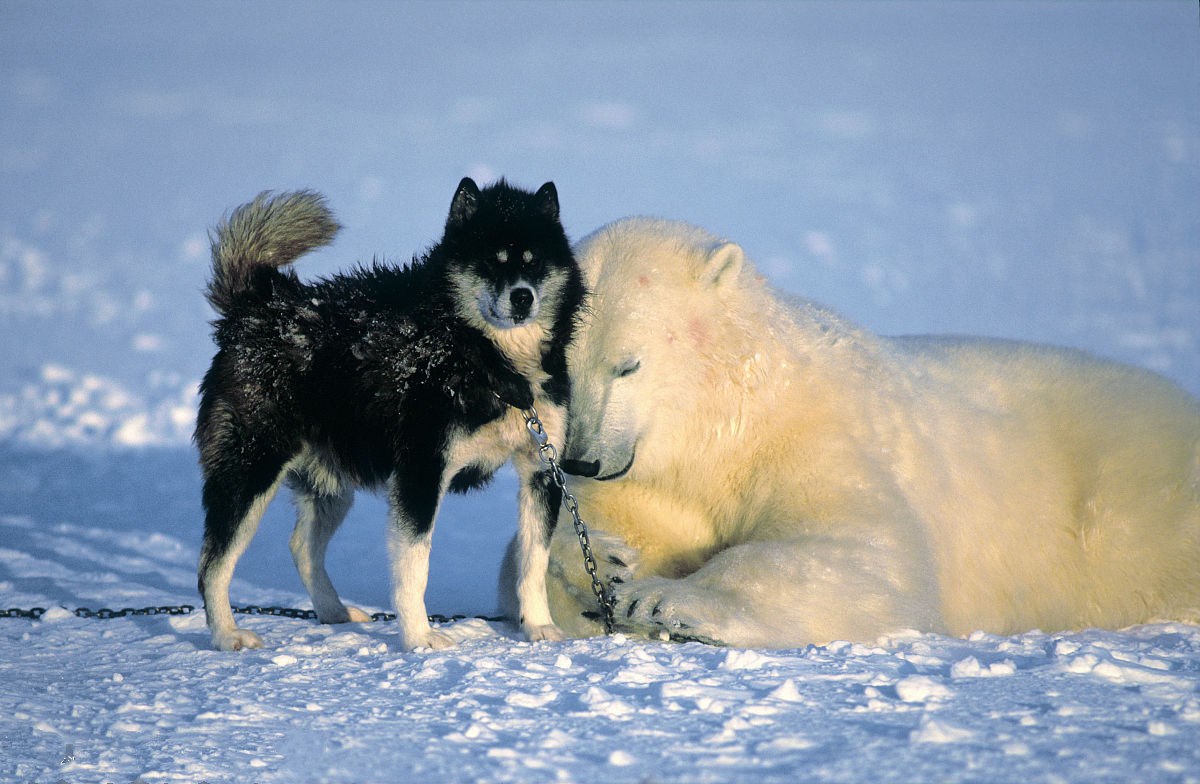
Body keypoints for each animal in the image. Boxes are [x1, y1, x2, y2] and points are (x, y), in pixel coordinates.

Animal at [194, 180, 583, 653]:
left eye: (534, 261)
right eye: (492, 261)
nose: (523, 296)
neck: (485, 361)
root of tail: (257, 307)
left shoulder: (540, 471)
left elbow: (533, 564)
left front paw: (539, 627)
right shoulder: (421, 472)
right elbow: (414, 567)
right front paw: (419, 638)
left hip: (329, 483)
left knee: (300, 547)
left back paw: (335, 612)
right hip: (251, 472)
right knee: (212, 563)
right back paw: (226, 633)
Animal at [501, 217, 1200, 643]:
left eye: (629, 364)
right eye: (560, 369)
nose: (584, 460)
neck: (725, 420)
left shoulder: (809, 434)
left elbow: (861, 548)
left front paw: (664, 602)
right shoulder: (653, 476)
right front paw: (606, 563)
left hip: (1130, 496)